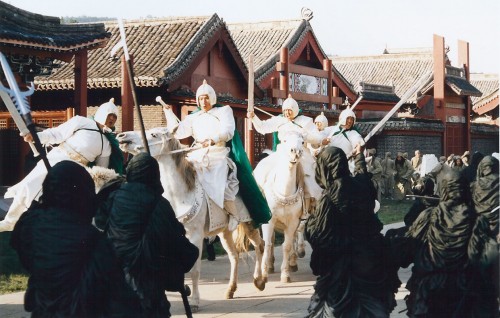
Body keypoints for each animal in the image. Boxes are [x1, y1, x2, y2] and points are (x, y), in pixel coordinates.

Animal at [116, 126, 266, 310]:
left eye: (154, 135)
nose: (122, 136)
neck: (179, 194)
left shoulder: (195, 236)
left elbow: (194, 270)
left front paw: (194, 300)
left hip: (249, 223)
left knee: (259, 246)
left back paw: (259, 281)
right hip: (224, 232)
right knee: (234, 256)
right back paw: (231, 289)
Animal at [256, 130, 306, 282]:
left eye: (302, 142)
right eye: (284, 140)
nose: (295, 152)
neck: (284, 193)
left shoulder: (293, 221)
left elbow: (287, 245)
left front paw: (285, 274)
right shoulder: (269, 220)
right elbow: (267, 244)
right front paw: (264, 273)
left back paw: (292, 262)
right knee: (271, 241)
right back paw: (270, 265)